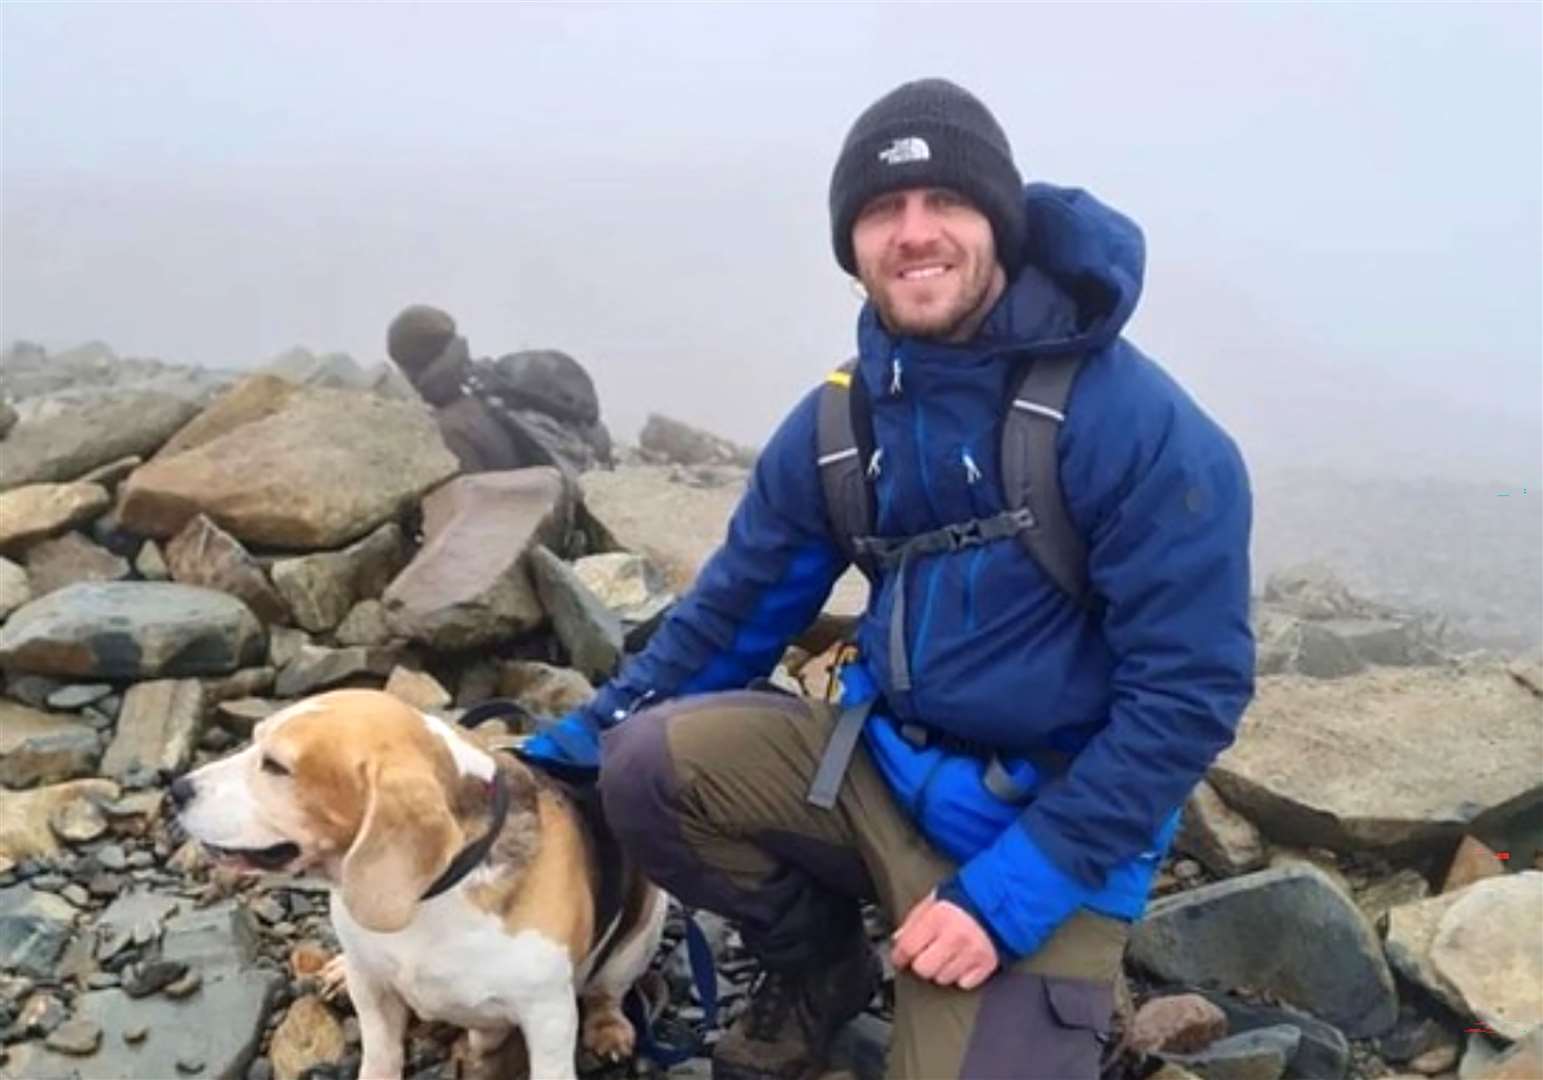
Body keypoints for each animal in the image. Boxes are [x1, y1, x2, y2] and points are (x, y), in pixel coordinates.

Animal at [172, 691, 666, 1080]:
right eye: (254, 740)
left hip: (644, 926)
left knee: (606, 991)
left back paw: (607, 1028)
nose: (176, 788)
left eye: (276, 766)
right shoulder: (373, 988)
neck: (433, 897)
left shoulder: (548, 1015)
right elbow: (380, 1052)